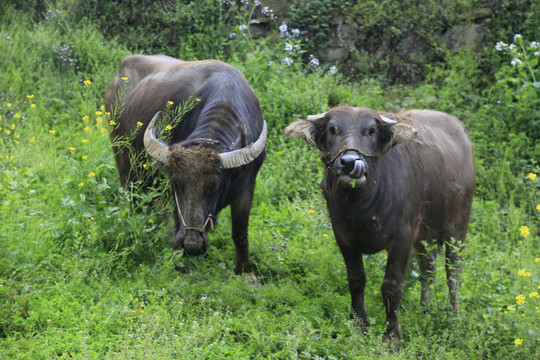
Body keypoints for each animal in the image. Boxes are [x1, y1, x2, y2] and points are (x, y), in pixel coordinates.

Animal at [103, 55, 266, 276]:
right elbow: (177, 220)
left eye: (213, 186)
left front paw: (245, 270)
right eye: (176, 184)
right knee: (133, 198)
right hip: (124, 158)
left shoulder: (247, 186)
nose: (192, 245)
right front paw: (181, 265)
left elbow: (240, 232)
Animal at [284, 106, 474, 346]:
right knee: (428, 266)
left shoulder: (402, 239)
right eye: (332, 129)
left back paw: (454, 315)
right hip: (423, 234)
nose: (349, 162)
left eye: (371, 130)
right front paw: (359, 325)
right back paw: (425, 309)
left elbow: (391, 287)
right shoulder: (344, 238)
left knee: (453, 270)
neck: (362, 207)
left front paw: (392, 337)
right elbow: (356, 280)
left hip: (458, 227)